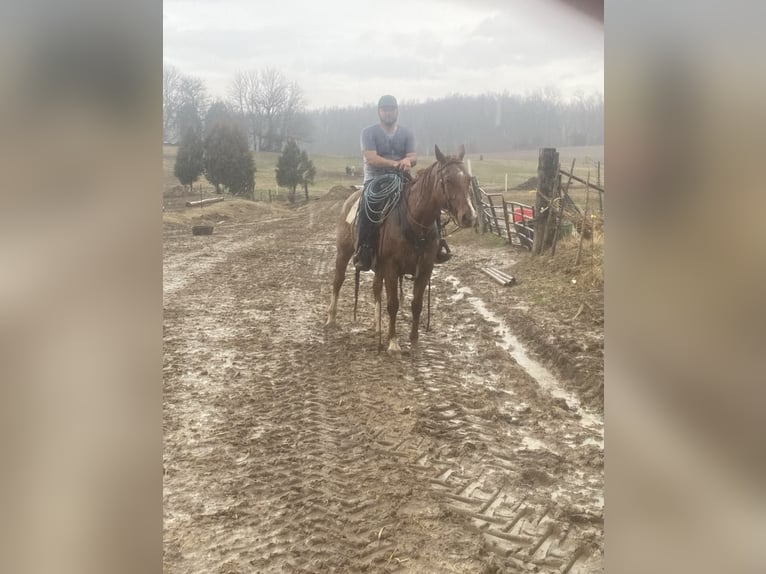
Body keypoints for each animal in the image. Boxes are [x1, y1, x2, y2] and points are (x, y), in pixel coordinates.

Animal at [326, 145, 480, 356]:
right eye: (448, 179)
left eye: (468, 179)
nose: (469, 216)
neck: (414, 220)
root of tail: (351, 197)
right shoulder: (391, 267)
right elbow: (393, 304)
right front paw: (393, 342)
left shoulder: (425, 269)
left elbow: (417, 305)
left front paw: (414, 342)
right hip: (344, 252)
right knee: (338, 281)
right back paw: (331, 318)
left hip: (378, 266)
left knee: (375, 288)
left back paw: (377, 326)